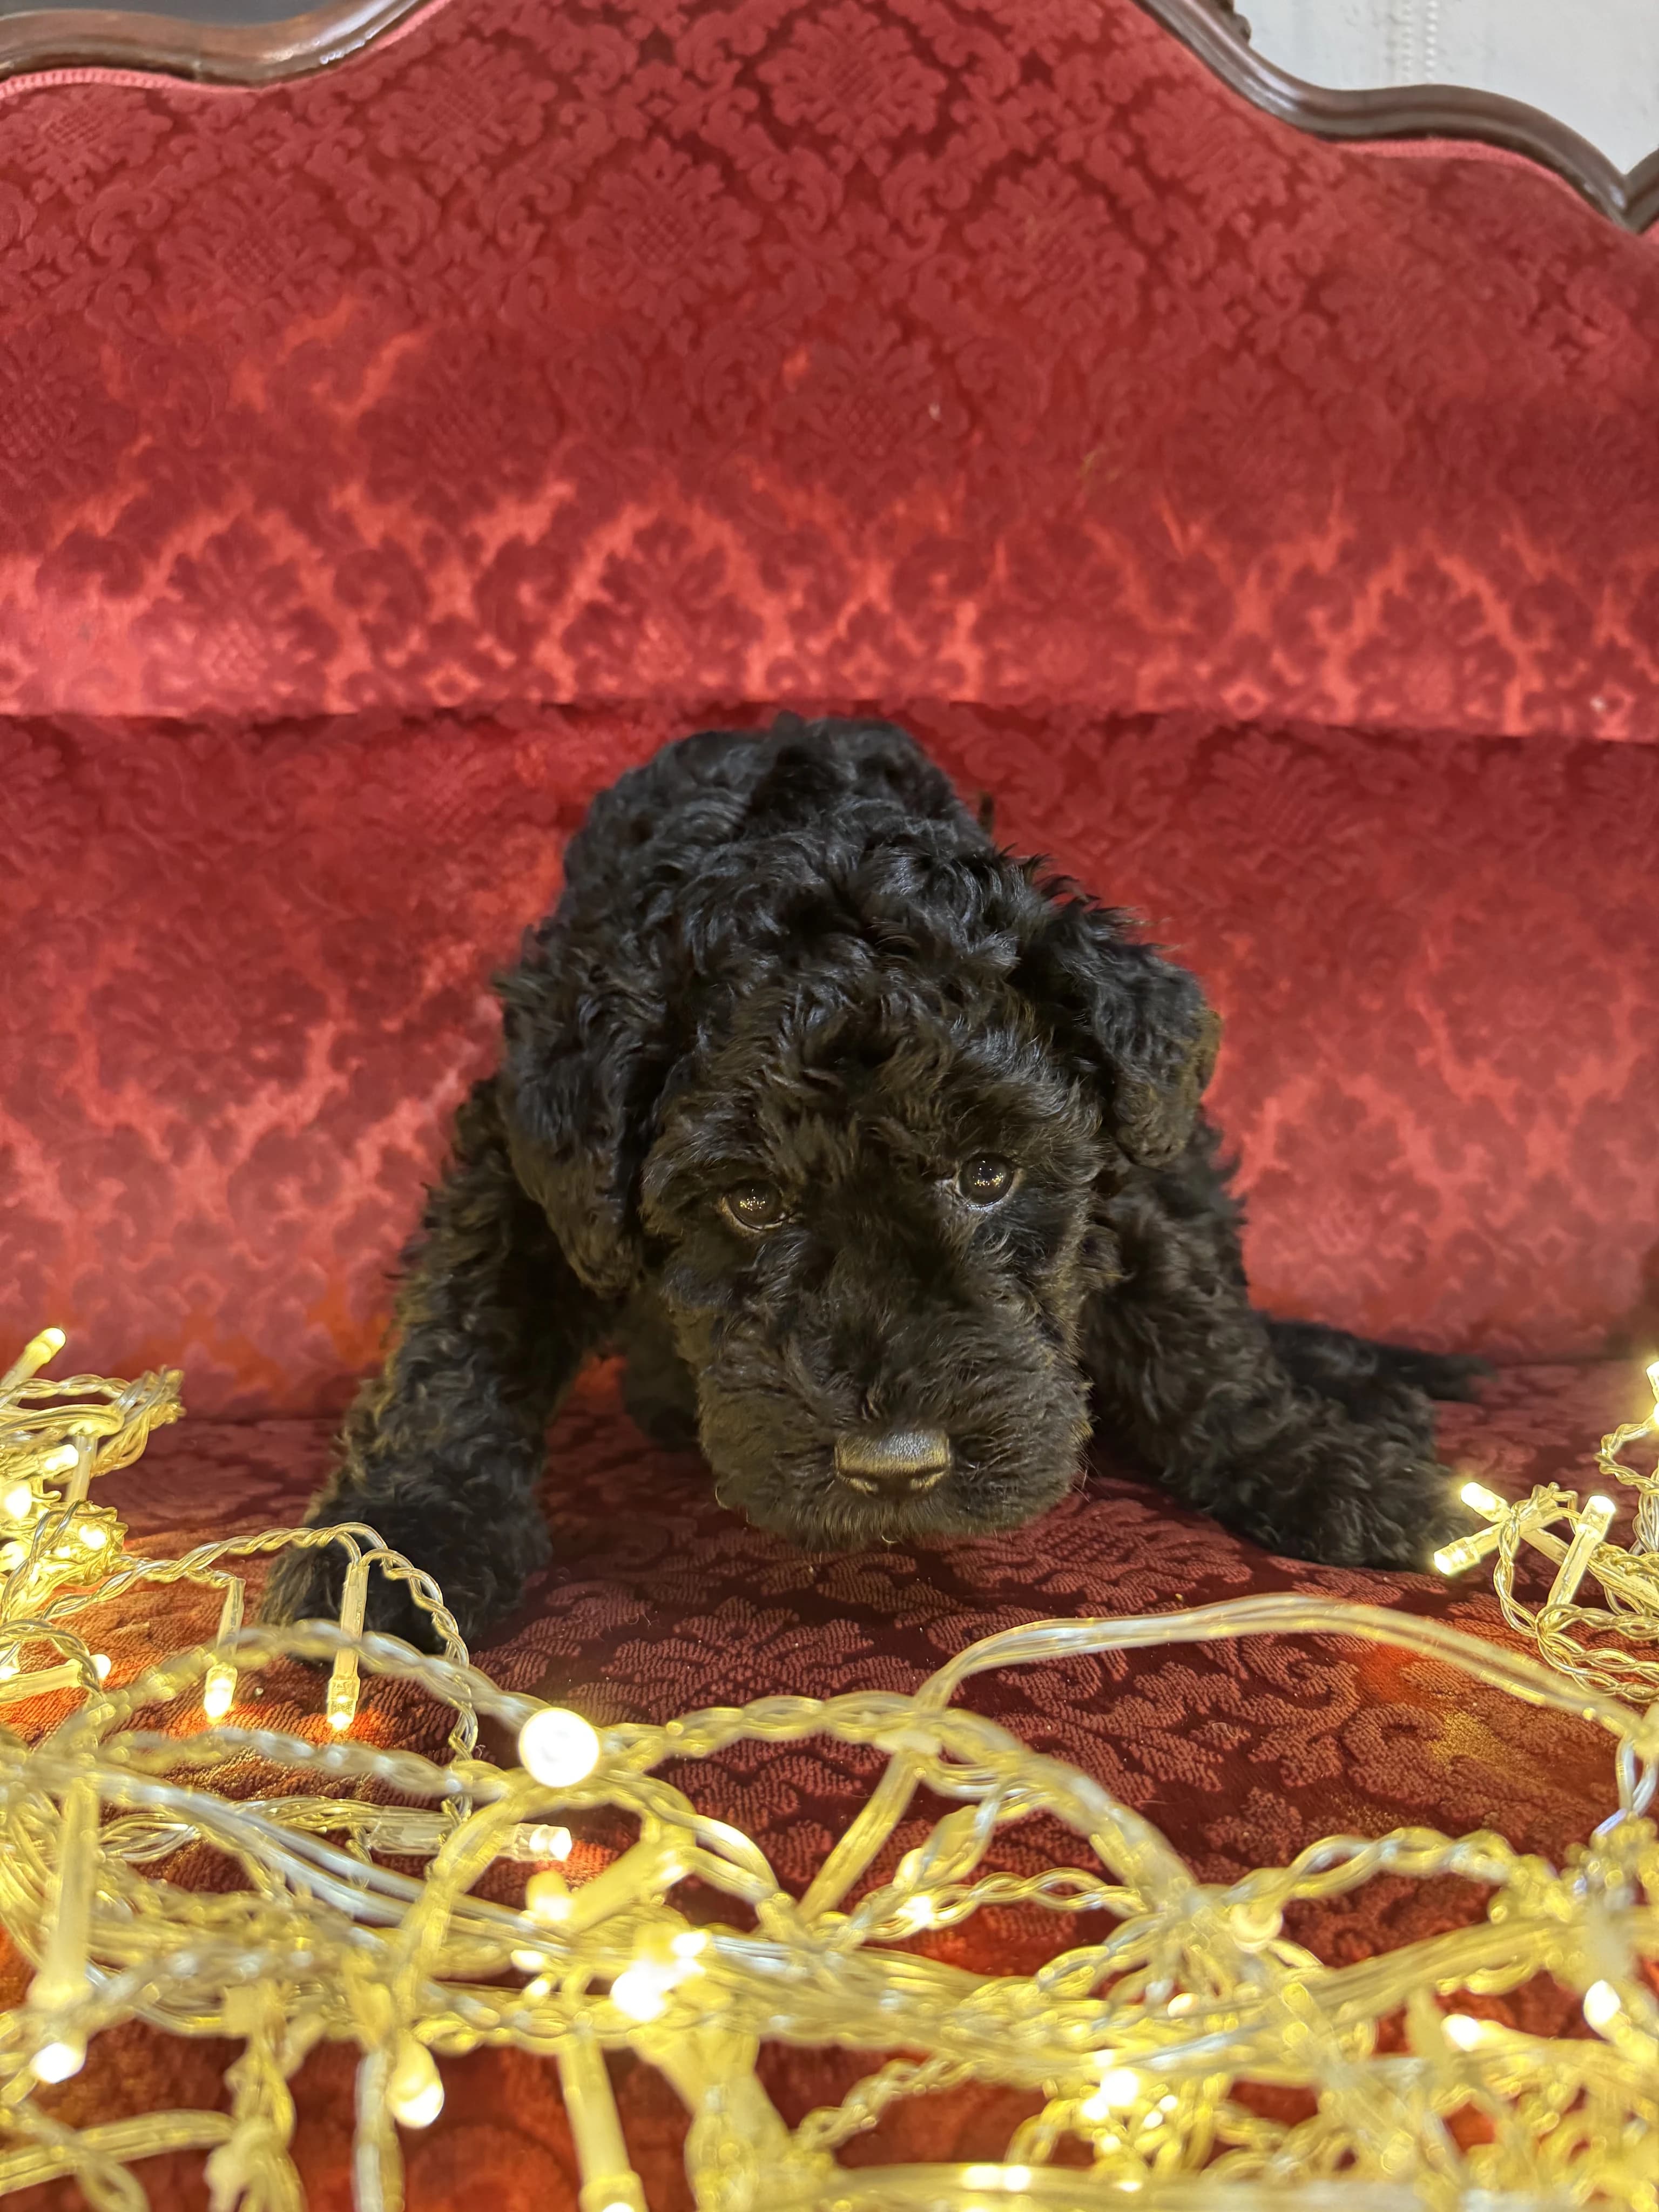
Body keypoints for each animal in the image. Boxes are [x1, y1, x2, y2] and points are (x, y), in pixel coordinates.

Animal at [263, 717, 1481, 1647]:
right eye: (751, 1200)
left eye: (988, 1174)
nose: (895, 1469)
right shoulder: (522, 1150)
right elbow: (458, 1336)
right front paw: (401, 1539)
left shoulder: (1133, 1153)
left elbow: (1197, 1324)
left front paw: (1314, 1465)